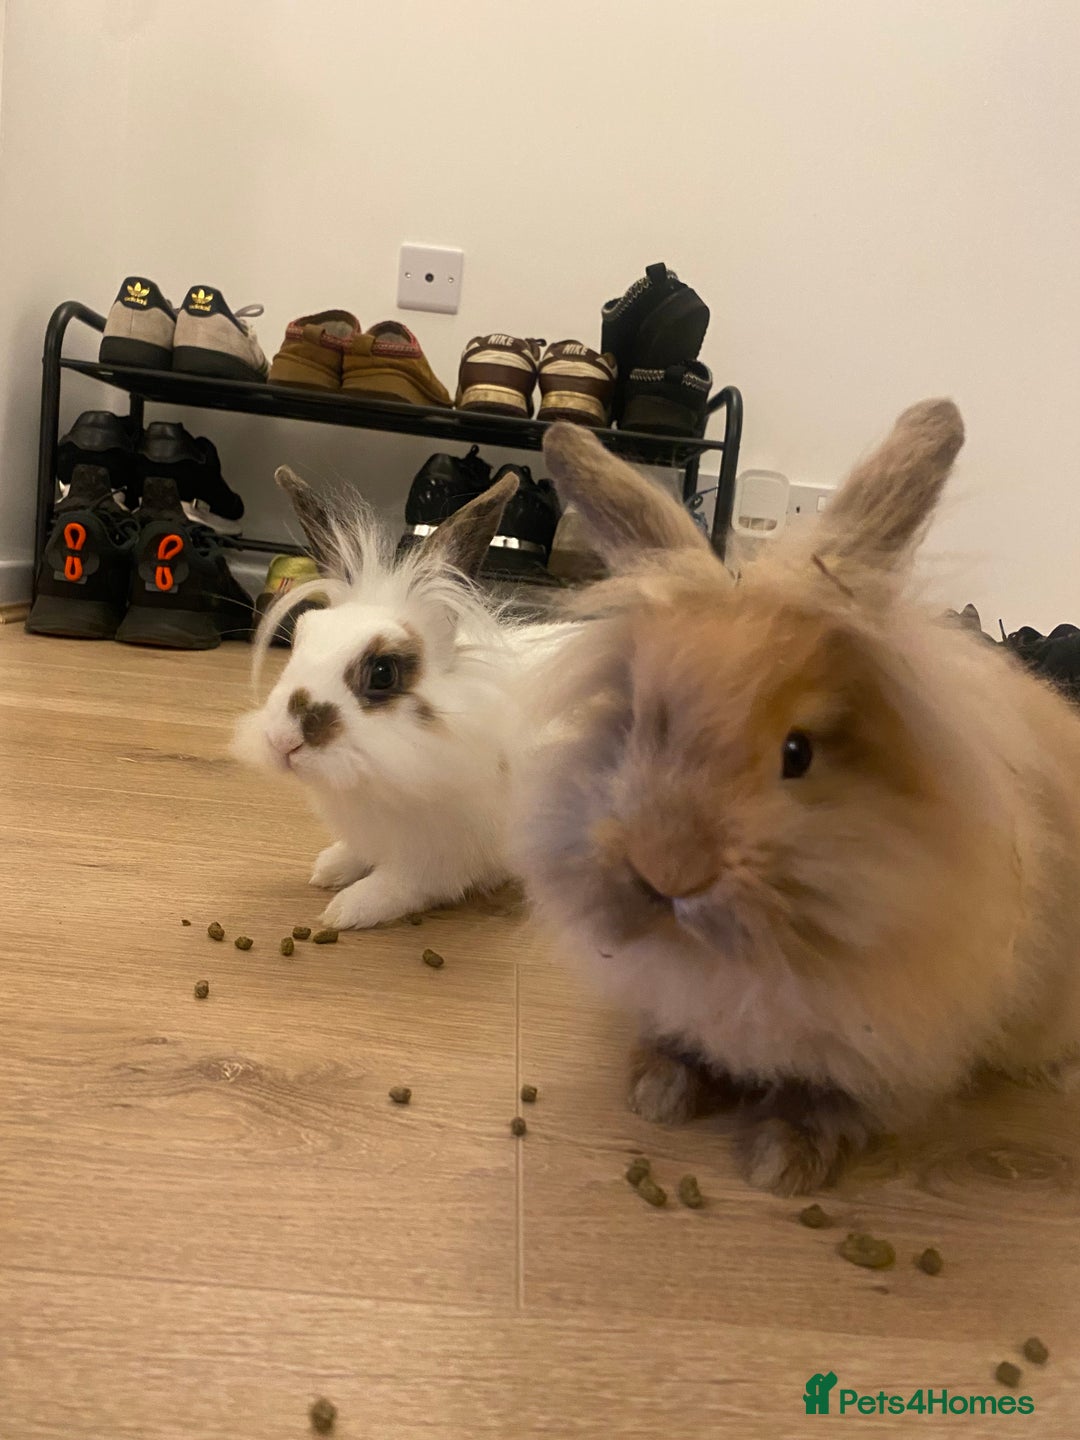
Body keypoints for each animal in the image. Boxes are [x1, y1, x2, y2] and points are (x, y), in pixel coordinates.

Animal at [233, 465, 571, 930]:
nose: (283, 742)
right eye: (301, 638)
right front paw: (330, 868)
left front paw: (346, 910)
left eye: (383, 673)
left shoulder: (437, 863)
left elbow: (400, 887)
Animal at [515, 403, 1080, 1195]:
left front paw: (783, 1160)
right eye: (635, 725)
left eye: (798, 753)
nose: (667, 872)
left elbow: (831, 1092)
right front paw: (658, 1091)